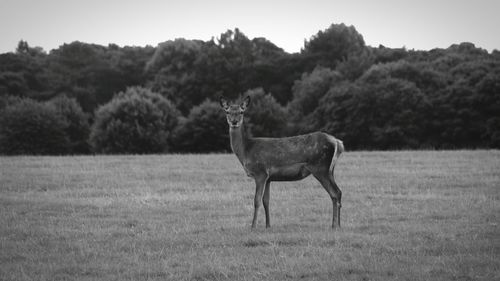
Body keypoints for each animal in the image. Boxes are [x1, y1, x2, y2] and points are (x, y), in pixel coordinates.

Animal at [220, 95, 344, 228]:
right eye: (227, 111)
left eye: (241, 112)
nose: (234, 122)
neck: (246, 150)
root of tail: (337, 142)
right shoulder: (269, 178)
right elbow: (266, 201)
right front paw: (268, 225)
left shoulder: (260, 173)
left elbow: (256, 200)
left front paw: (253, 226)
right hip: (329, 169)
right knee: (339, 192)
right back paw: (338, 225)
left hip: (320, 167)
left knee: (334, 193)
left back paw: (334, 225)